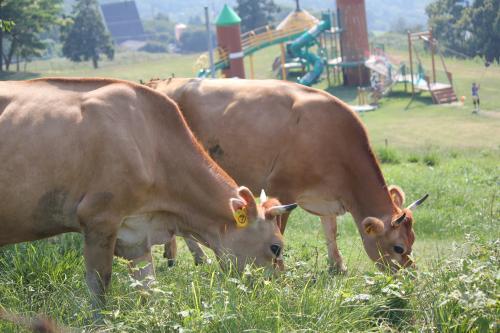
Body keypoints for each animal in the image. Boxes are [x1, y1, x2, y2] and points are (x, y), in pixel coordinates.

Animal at [0, 77, 294, 304]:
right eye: (276, 247)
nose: (279, 289)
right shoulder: (99, 220)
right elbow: (99, 289)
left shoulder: (136, 236)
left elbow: (149, 291)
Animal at [146, 78, 428, 272]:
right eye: (398, 247)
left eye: (413, 240)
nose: (411, 273)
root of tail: (162, 83)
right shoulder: (280, 189)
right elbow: (278, 231)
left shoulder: (326, 198)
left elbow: (330, 231)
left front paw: (337, 266)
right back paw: (183, 256)